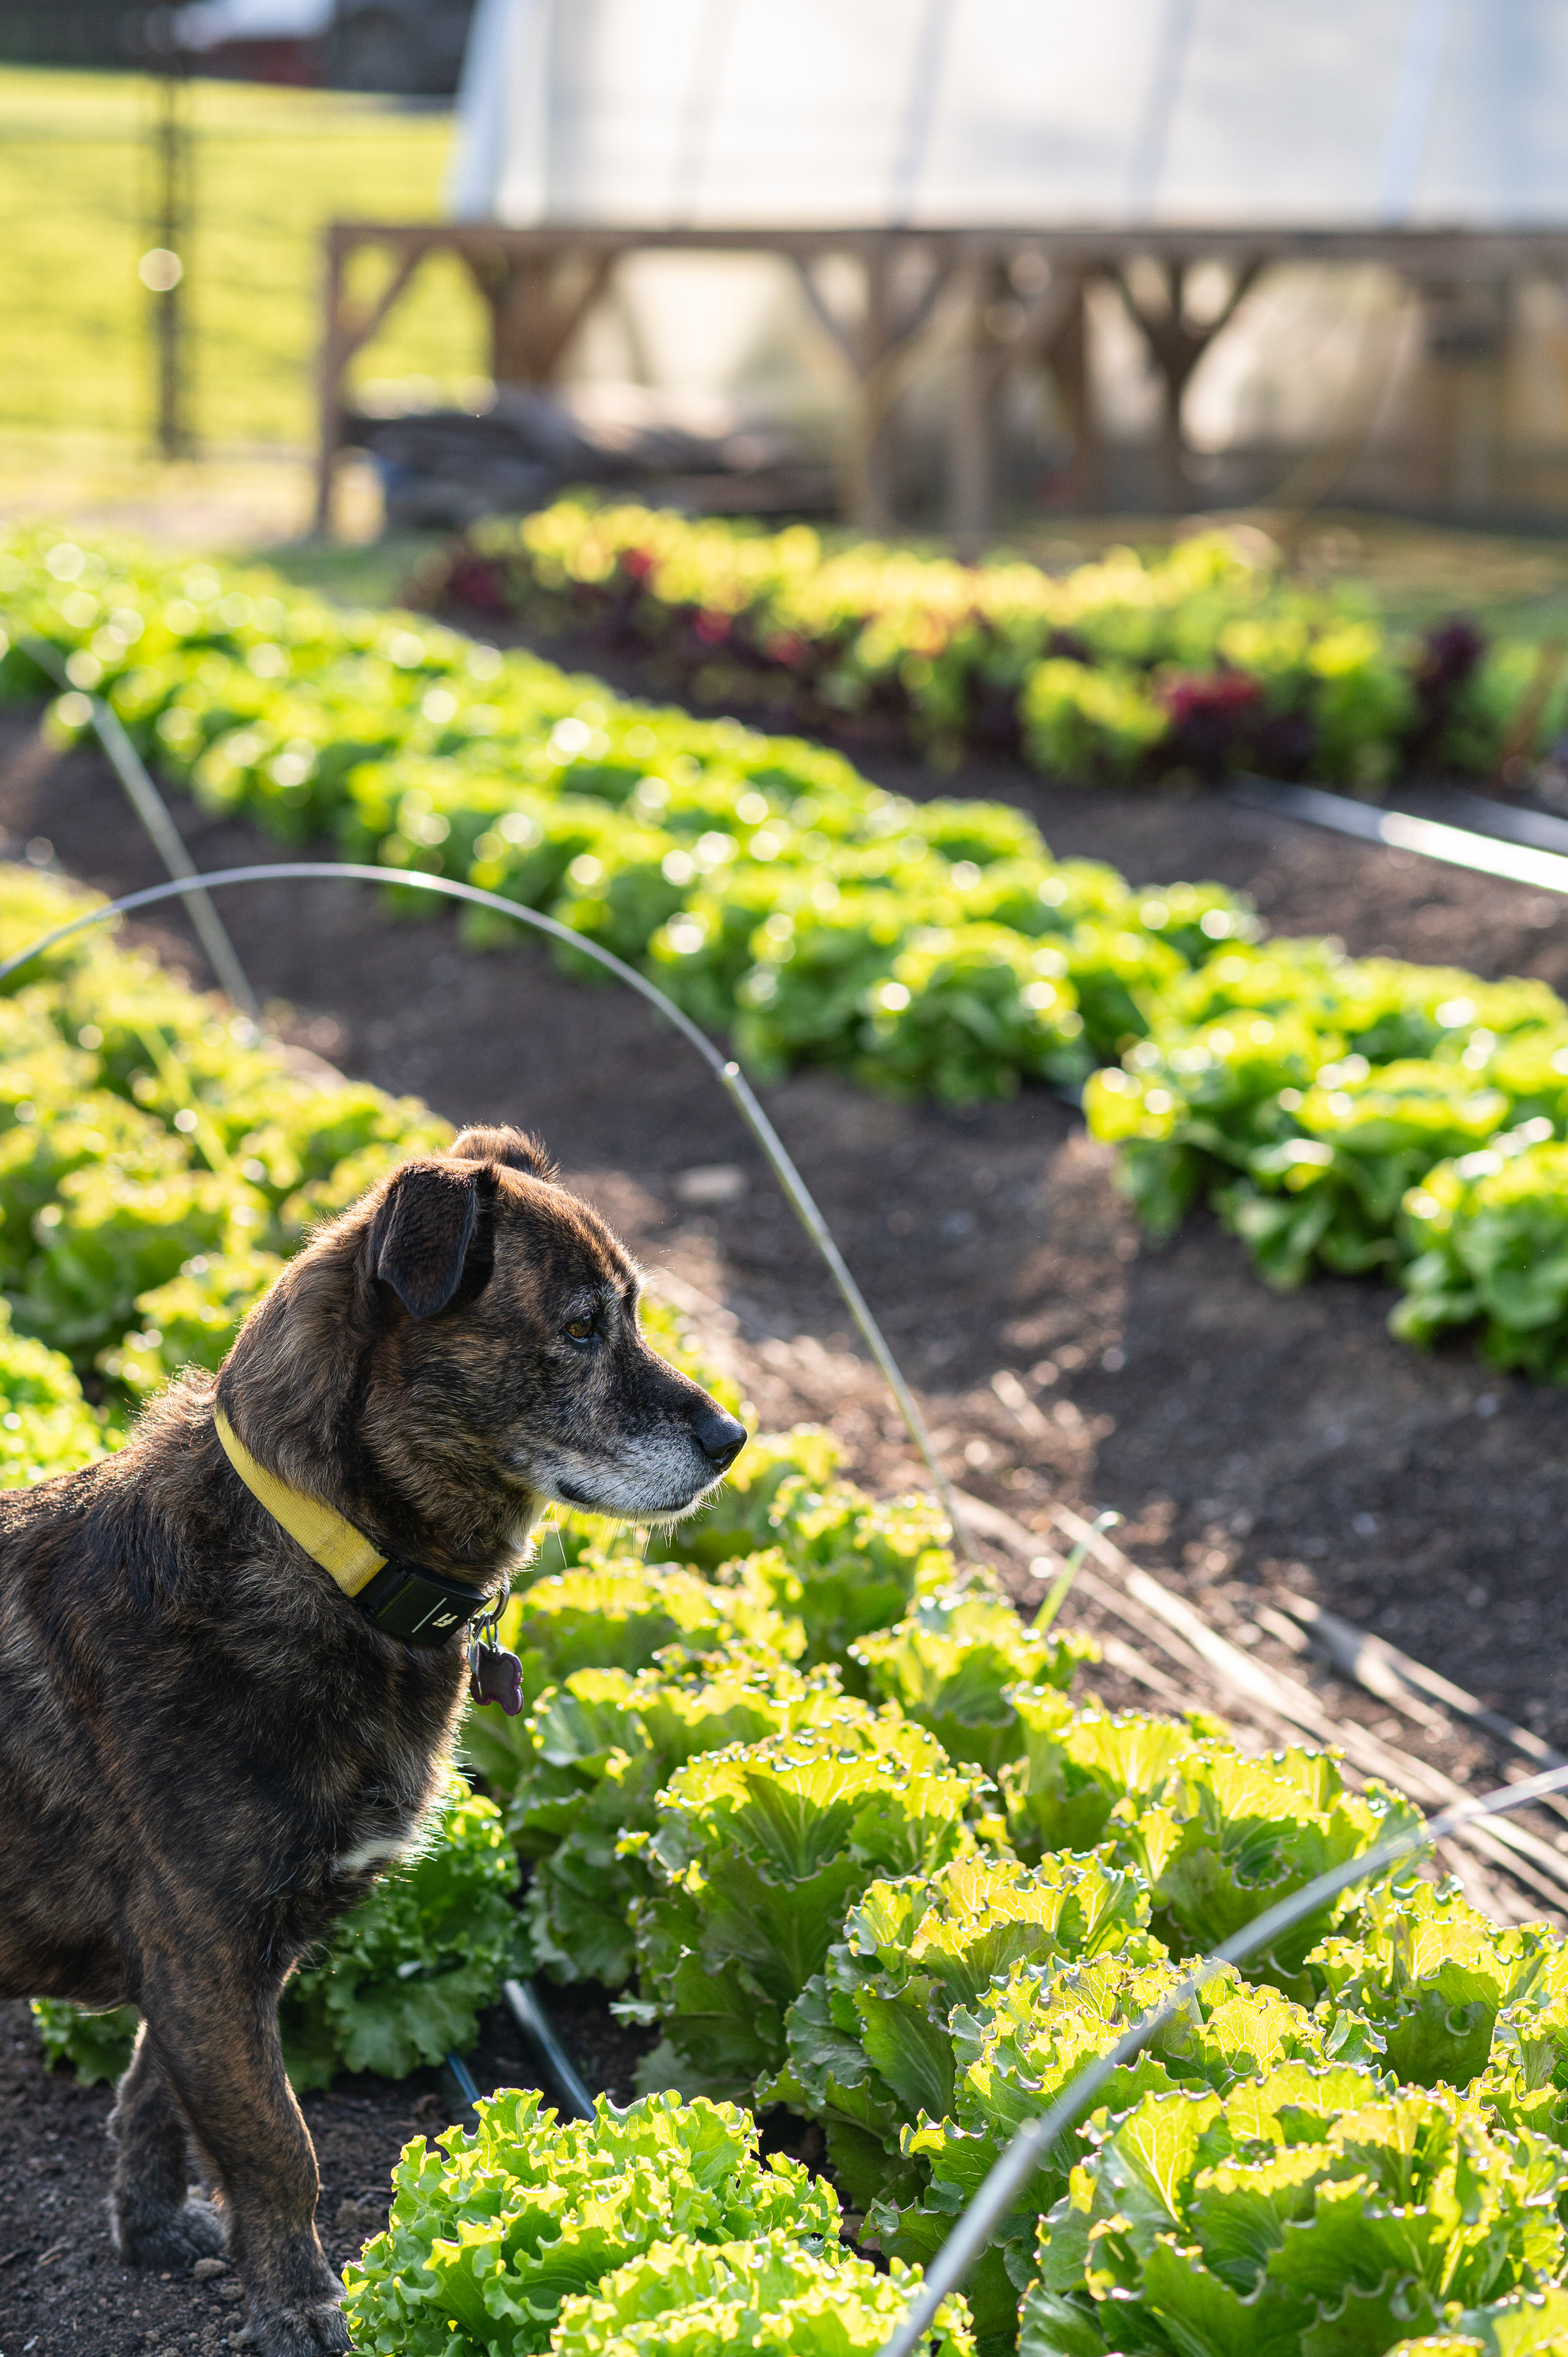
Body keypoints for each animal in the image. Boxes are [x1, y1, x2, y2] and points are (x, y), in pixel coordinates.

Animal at [0, 1124, 745, 2357]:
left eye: (632, 1312)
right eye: (581, 1327)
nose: (734, 1437)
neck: (326, 1554)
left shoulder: (201, 1965)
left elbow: (154, 2092)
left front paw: (149, 2225)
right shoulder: (206, 1947)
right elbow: (279, 2147)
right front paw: (302, 2307)